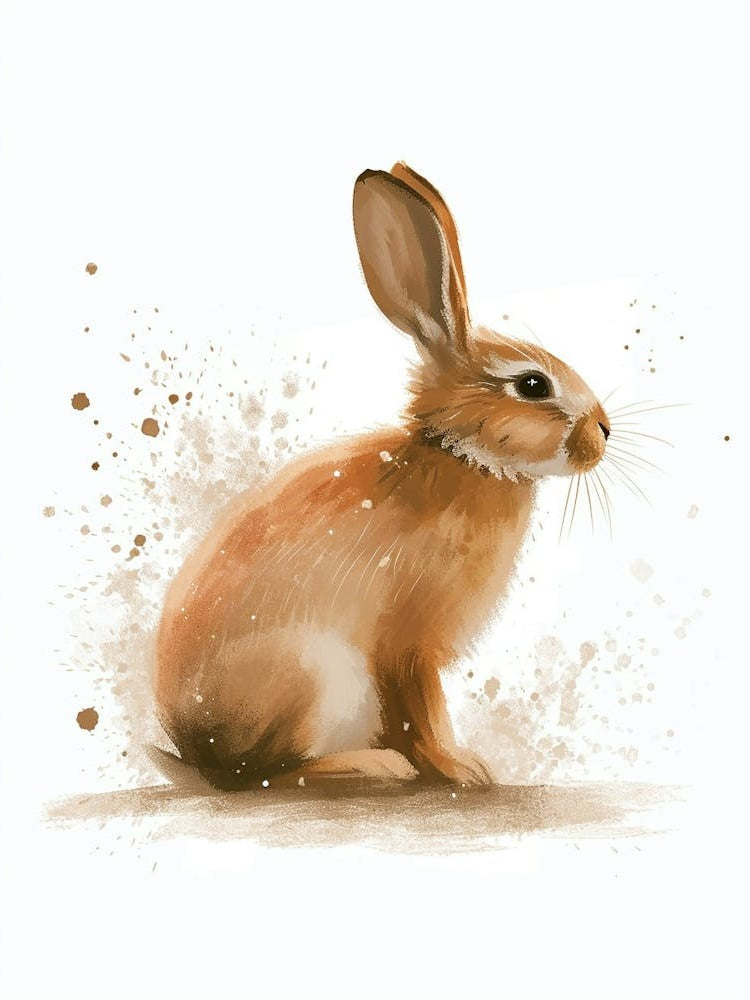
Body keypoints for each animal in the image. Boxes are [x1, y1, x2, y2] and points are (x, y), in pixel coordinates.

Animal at [154, 161, 610, 790]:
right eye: (533, 385)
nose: (604, 431)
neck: (460, 456)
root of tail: (197, 750)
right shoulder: (411, 645)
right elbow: (423, 710)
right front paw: (464, 769)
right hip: (318, 679)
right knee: (269, 775)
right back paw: (374, 766)